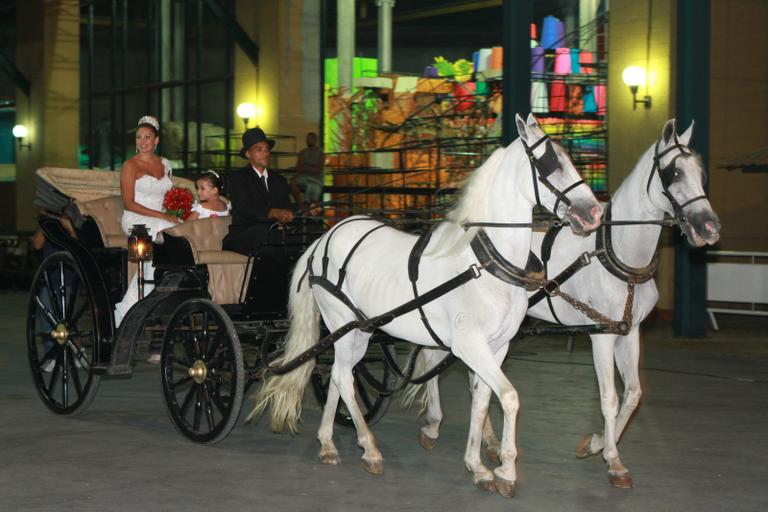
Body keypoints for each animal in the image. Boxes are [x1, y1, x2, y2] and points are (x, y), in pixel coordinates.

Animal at [249, 114, 604, 498]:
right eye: (548, 163)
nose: (594, 212)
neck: (484, 263)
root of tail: (323, 239)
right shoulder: (469, 345)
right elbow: (509, 397)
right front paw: (506, 471)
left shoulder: (497, 346)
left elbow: (482, 400)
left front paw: (479, 466)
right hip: (341, 323)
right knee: (343, 377)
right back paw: (369, 449)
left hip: (359, 329)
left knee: (338, 377)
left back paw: (328, 444)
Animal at [408, 119, 720, 488]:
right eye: (673, 172)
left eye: (701, 173)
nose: (709, 227)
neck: (616, 253)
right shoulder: (601, 335)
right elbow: (609, 398)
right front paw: (614, 461)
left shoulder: (629, 332)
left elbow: (632, 394)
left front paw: (595, 444)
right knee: (433, 359)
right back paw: (433, 425)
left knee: (474, 379)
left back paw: (490, 441)